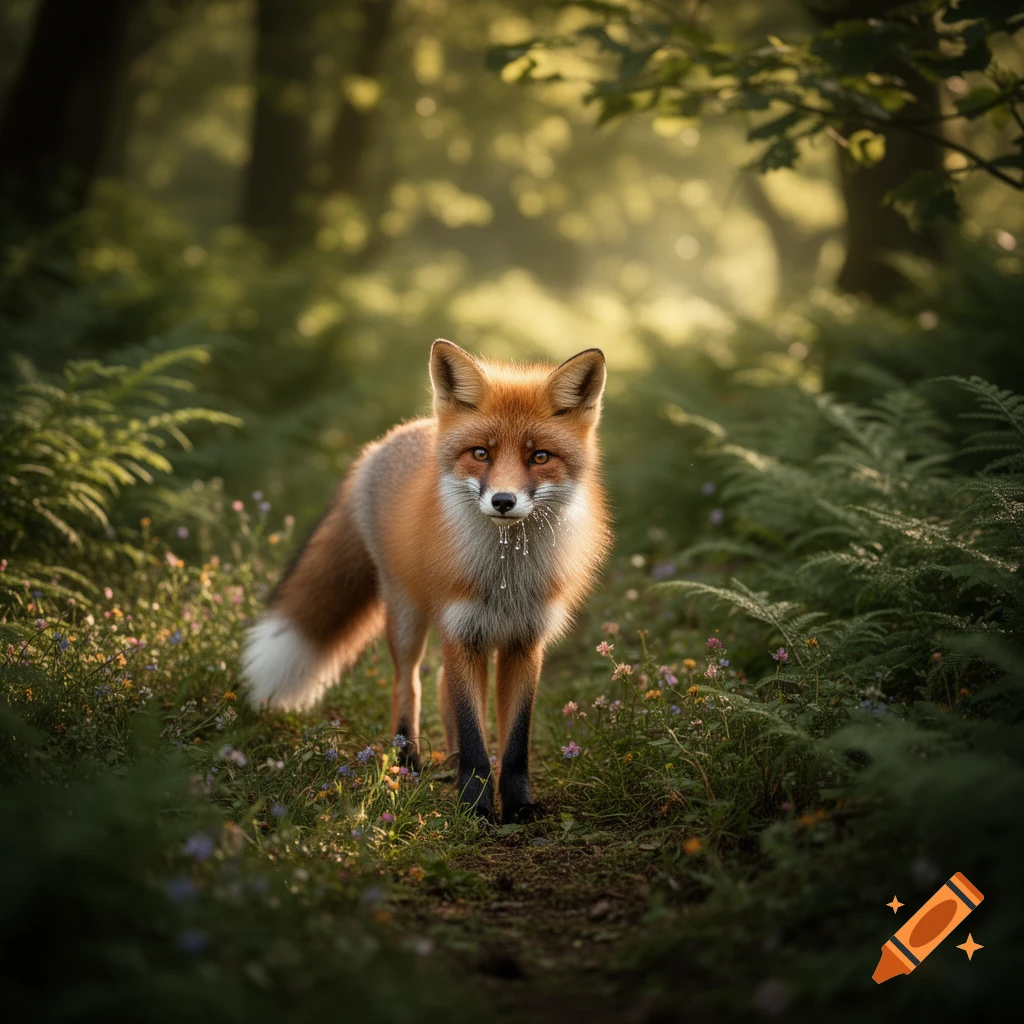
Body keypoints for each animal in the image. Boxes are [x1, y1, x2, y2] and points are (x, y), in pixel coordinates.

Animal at [243, 339, 611, 823]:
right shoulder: (461, 632)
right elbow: (475, 736)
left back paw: (447, 763)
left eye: (540, 457)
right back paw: (408, 760)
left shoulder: (524, 643)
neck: (505, 579)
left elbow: (514, 743)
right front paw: (475, 809)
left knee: (440, 689)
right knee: (409, 683)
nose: (503, 501)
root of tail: (391, 438)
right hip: (407, 617)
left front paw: (518, 806)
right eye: (481, 453)